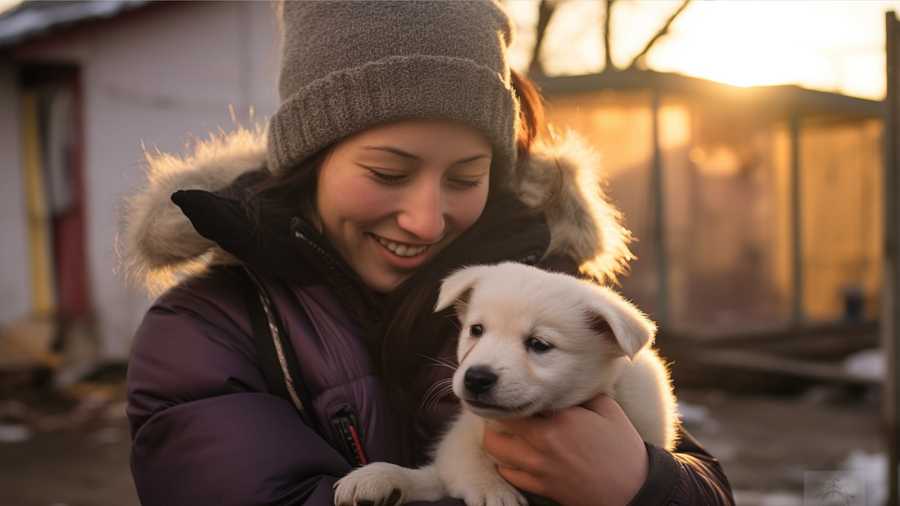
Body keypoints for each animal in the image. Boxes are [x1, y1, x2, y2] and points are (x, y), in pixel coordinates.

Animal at [334, 262, 680, 504]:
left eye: (539, 344)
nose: (476, 377)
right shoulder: (465, 435)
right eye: (476, 329)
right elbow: (448, 468)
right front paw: (380, 477)